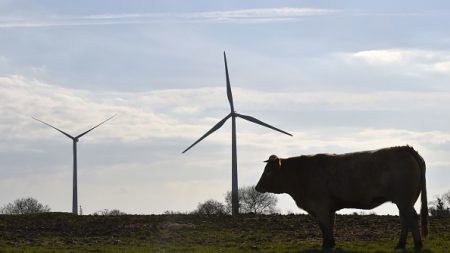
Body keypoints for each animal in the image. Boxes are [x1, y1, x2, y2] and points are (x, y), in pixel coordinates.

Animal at [255, 145, 428, 250]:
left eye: (268, 171)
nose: (257, 187)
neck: (302, 174)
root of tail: (404, 148)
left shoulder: (321, 207)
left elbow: (324, 226)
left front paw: (326, 245)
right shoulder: (329, 208)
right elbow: (330, 226)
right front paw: (331, 244)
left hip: (404, 200)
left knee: (412, 218)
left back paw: (418, 245)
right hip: (405, 201)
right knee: (405, 219)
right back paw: (400, 245)